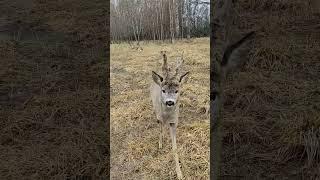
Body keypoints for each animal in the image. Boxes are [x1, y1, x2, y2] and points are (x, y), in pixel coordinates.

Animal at [149, 51, 188, 179]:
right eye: (163, 90)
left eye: (177, 91)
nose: (169, 102)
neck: (166, 116)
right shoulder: (159, 118)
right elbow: (160, 129)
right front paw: (160, 144)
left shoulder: (174, 122)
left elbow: (175, 148)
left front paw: (179, 173)